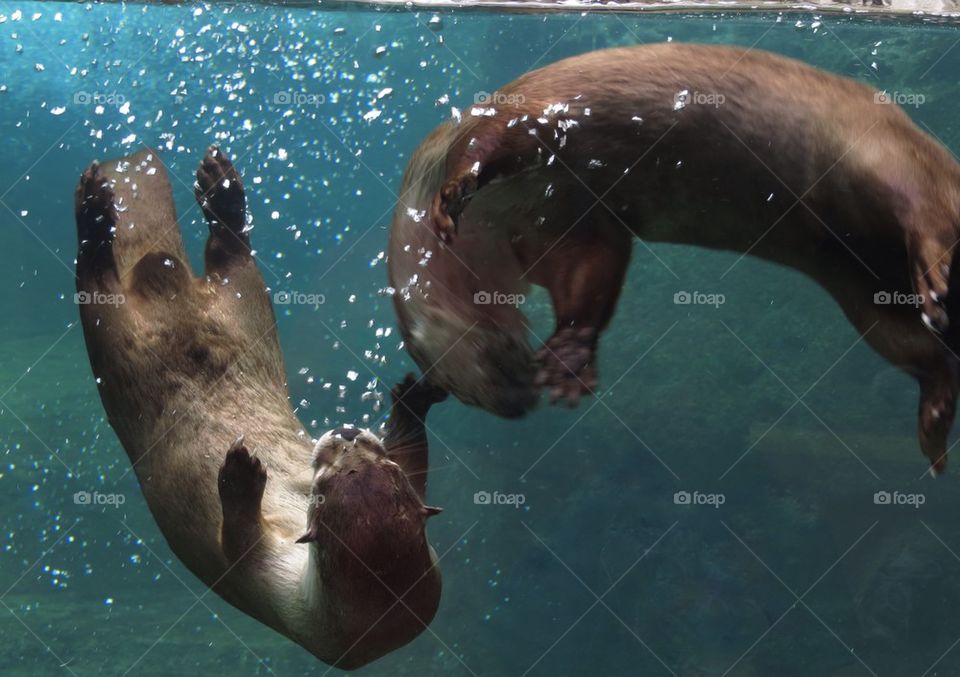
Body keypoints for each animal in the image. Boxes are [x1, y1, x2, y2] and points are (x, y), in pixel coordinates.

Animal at [75, 146, 446, 669]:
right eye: (386, 467)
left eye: (322, 489)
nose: (346, 434)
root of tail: (158, 269)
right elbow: (415, 456)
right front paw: (412, 400)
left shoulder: (273, 589)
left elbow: (235, 543)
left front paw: (241, 474)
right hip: (245, 303)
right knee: (230, 258)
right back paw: (220, 188)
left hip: (119, 333)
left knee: (99, 280)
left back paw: (94, 207)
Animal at [388, 43, 960, 473]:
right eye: (459, 395)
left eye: (458, 374)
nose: (515, 403)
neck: (499, 220)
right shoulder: (560, 227)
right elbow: (592, 270)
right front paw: (570, 358)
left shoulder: (522, 122)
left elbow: (486, 145)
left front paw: (453, 197)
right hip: (860, 292)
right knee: (918, 347)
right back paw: (934, 421)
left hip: (882, 153)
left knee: (924, 207)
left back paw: (935, 279)